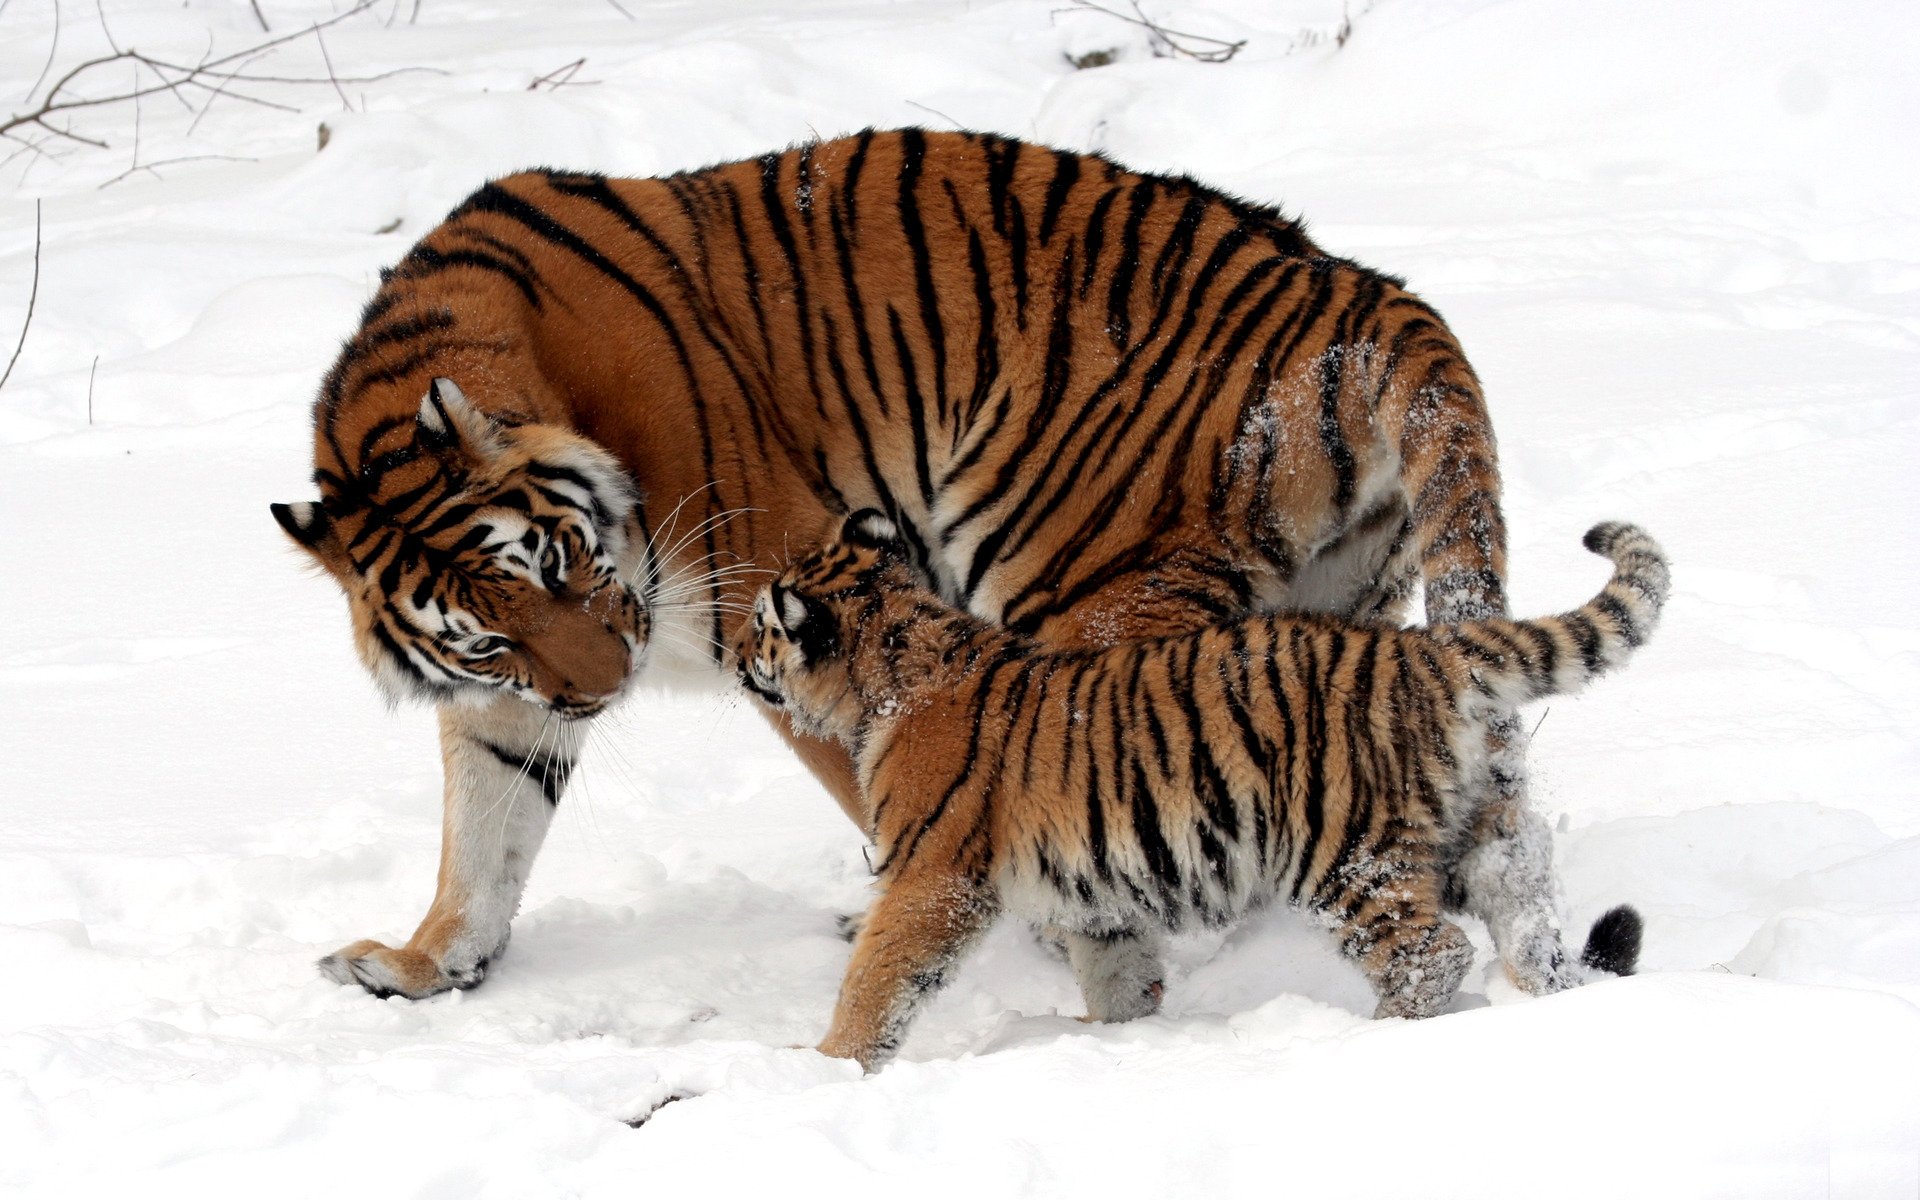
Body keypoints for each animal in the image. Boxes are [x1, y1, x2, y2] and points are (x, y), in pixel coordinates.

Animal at [273, 127, 1557, 1006]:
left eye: (559, 563)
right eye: (488, 634)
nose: (605, 688)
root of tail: (1358, 292)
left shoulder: (779, 594)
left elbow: (884, 778)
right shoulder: (512, 697)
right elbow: (484, 826)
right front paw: (425, 963)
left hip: (1088, 589)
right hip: (1342, 614)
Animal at [735, 510, 1664, 1070]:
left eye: (761, 627)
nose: (737, 656)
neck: (895, 664)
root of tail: (1425, 650)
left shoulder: (931, 878)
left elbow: (878, 979)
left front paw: (826, 1067)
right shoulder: (1095, 894)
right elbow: (1116, 971)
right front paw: (1107, 1036)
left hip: (1343, 854)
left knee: (1432, 952)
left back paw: (1369, 1041)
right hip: (1470, 834)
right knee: (1526, 912)